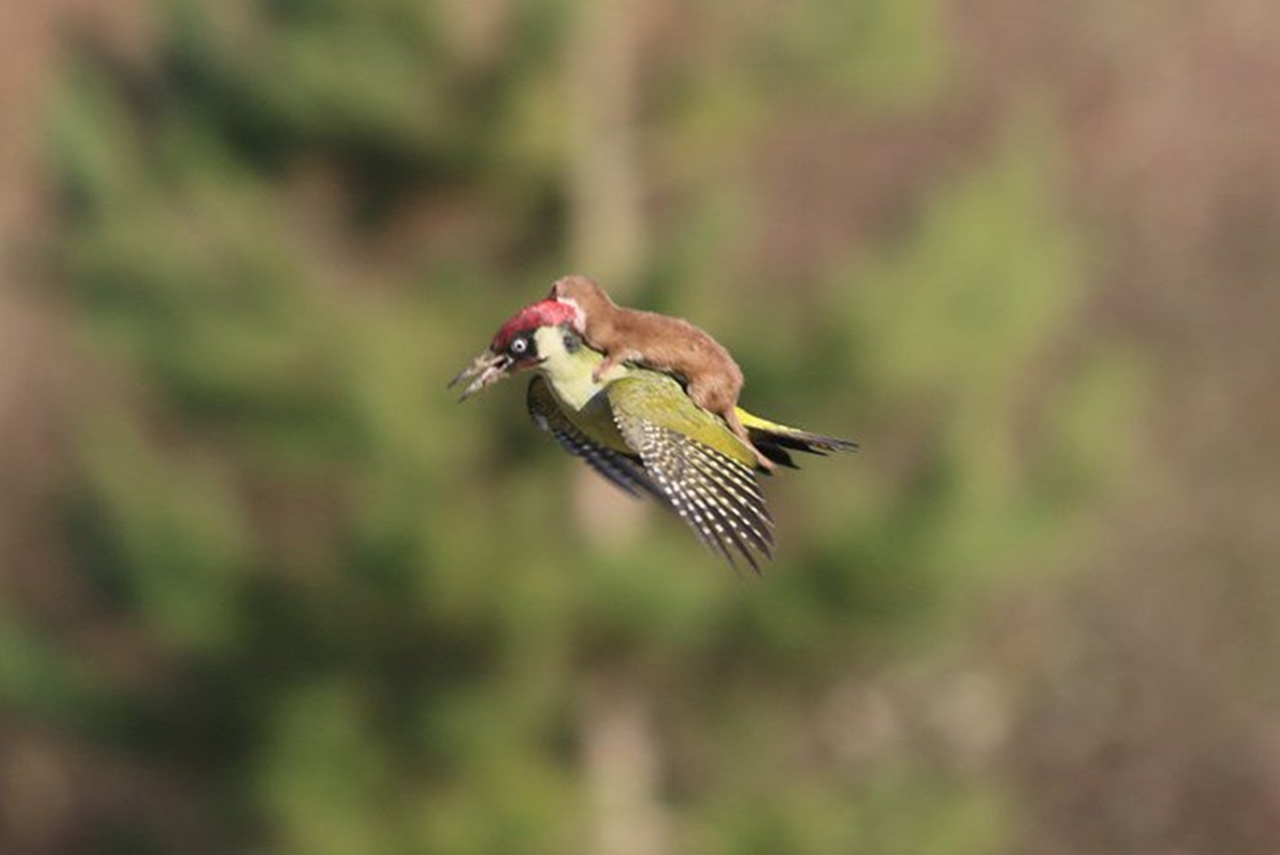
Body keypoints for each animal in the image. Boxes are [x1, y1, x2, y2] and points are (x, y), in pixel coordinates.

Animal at [547, 273, 773, 471]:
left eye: (551, 291)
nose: (546, 296)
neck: (596, 317)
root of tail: (732, 395)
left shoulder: (616, 340)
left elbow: (617, 354)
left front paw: (600, 371)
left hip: (704, 384)